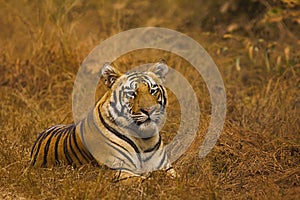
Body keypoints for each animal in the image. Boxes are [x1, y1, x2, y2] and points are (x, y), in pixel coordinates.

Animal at [29, 60, 176, 180]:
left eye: (152, 91)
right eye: (131, 93)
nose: (149, 110)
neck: (143, 140)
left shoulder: (166, 167)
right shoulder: (117, 170)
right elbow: (144, 181)